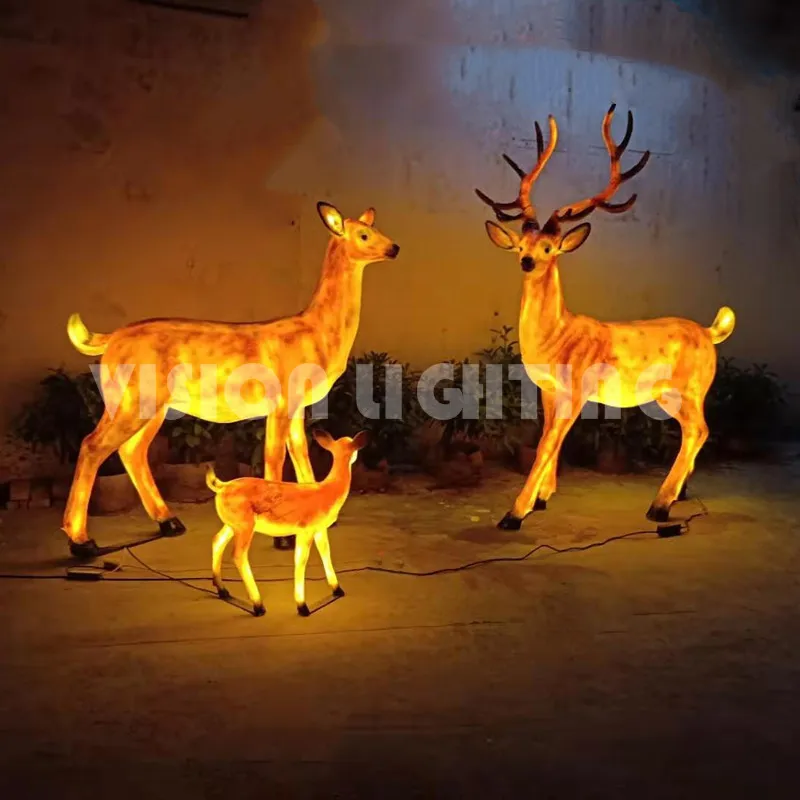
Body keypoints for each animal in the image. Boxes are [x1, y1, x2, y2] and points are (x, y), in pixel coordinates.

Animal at [63, 203, 398, 559]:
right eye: (363, 235)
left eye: (376, 229)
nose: (394, 247)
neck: (315, 333)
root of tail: (109, 340)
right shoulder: (281, 400)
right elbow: (275, 456)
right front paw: (282, 538)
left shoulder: (297, 405)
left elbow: (300, 452)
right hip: (134, 397)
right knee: (93, 445)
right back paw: (82, 542)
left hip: (148, 403)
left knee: (131, 451)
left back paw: (170, 522)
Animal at [206, 429, 368, 617]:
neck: (329, 491)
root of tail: (221, 487)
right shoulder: (306, 528)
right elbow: (301, 559)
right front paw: (302, 606)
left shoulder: (319, 528)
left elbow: (325, 553)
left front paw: (337, 589)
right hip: (245, 524)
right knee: (238, 555)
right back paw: (258, 606)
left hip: (233, 524)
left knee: (217, 541)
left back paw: (223, 591)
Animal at [475, 104, 735, 530]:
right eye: (522, 245)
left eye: (548, 248)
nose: (527, 261)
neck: (557, 336)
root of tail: (710, 332)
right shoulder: (548, 389)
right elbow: (546, 439)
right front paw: (543, 498)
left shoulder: (577, 389)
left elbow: (547, 443)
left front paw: (515, 512)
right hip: (676, 393)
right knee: (695, 432)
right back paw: (678, 495)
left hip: (688, 388)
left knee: (699, 429)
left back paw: (659, 505)